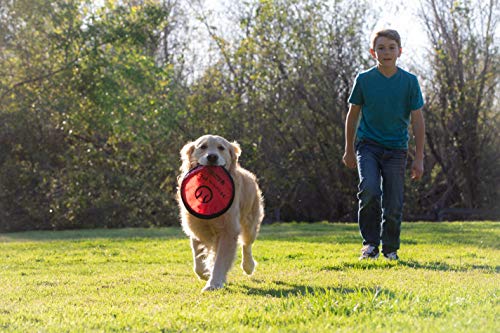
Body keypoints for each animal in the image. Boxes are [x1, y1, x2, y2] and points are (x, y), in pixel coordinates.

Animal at [179, 134, 266, 290]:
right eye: (203, 147)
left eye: (221, 148)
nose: (212, 157)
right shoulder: (196, 227)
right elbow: (198, 259)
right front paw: (205, 274)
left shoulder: (229, 230)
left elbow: (220, 260)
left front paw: (213, 283)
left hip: (250, 223)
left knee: (247, 245)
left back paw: (248, 266)